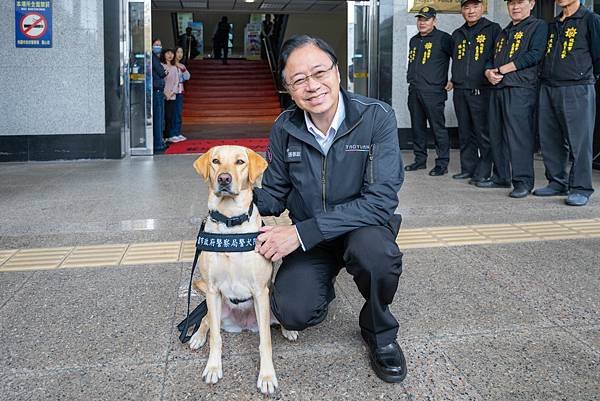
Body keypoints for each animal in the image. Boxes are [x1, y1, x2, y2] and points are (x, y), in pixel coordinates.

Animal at [190, 145, 298, 392]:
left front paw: (266, 376)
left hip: (270, 302)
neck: (230, 223)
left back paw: (288, 329)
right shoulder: (212, 290)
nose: (224, 179)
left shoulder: (260, 291)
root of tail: (244, 326)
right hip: (216, 307)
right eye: (216, 161)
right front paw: (213, 367)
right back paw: (198, 336)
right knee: (206, 321)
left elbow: (265, 341)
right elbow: (216, 339)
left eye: (240, 162)